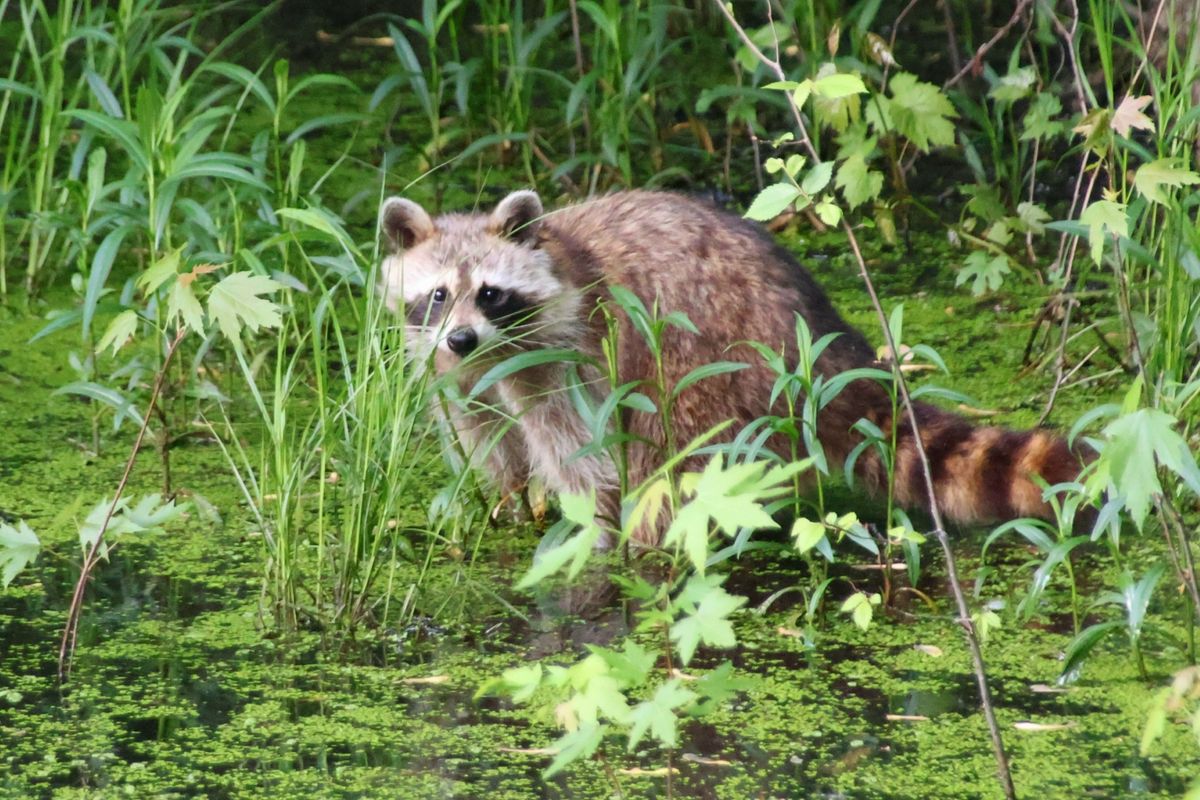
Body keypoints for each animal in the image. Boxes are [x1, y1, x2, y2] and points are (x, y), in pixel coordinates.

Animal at [379, 190, 1094, 546]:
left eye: (491, 293)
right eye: (438, 295)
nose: (463, 337)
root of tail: (818, 337)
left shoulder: (570, 353)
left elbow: (588, 465)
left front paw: (588, 533)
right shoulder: (451, 371)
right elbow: (485, 436)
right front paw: (504, 502)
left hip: (713, 372)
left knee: (671, 467)